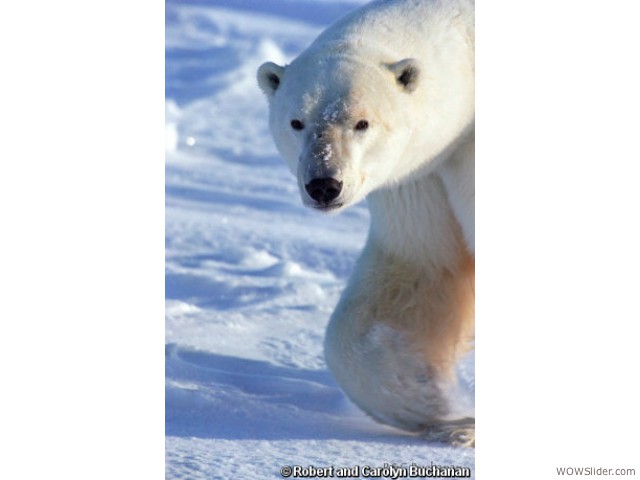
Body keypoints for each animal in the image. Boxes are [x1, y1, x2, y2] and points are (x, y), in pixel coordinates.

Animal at [256, 0, 476, 446]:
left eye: (362, 122)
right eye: (296, 122)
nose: (324, 185)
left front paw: (465, 428)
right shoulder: (421, 175)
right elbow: (420, 268)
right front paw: (437, 409)